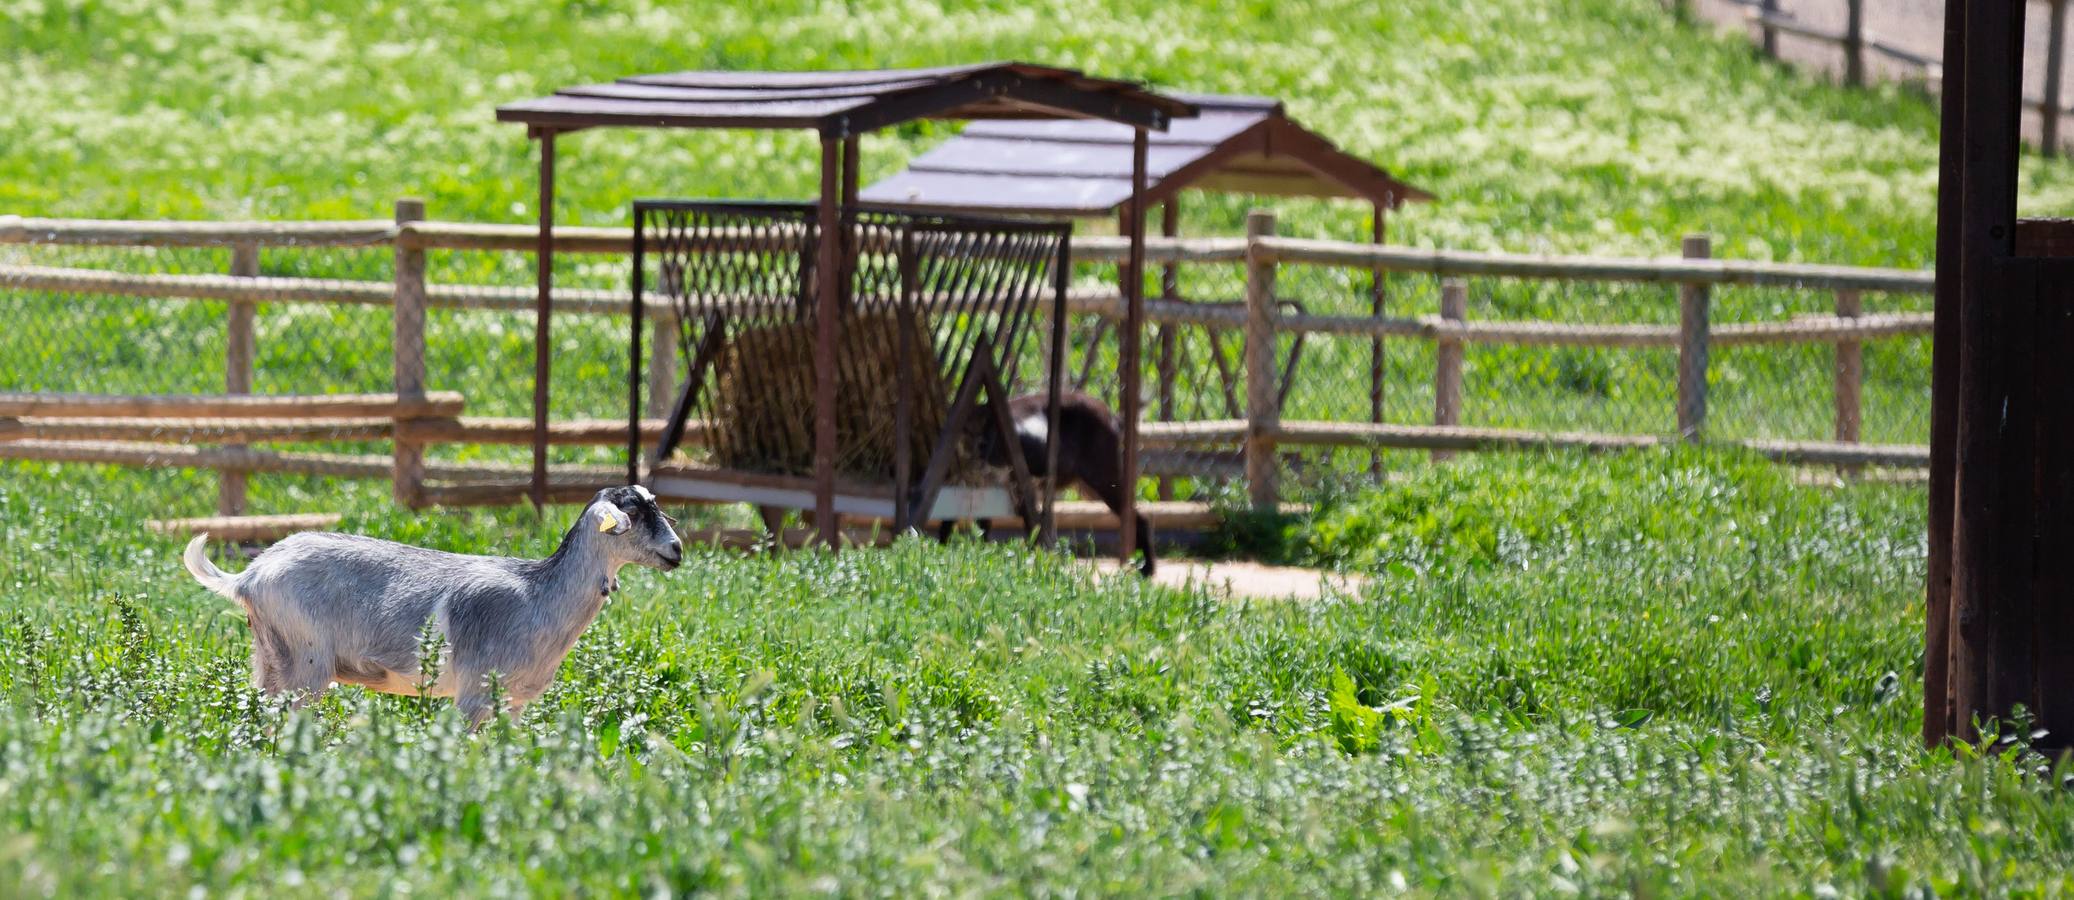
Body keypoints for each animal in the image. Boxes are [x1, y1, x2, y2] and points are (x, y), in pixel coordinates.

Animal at [179, 485, 680, 725]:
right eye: (632, 514)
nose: (676, 550)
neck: (537, 595)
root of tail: (248, 575)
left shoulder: (514, 702)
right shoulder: (474, 695)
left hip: (269, 659)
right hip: (306, 666)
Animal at [949, 387, 1153, 572]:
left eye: (984, 439)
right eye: (967, 433)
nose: (980, 455)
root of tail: (1111, 416)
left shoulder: (1011, 484)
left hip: (1104, 479)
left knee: (1139, 519)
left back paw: (1147, 569)